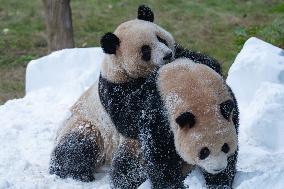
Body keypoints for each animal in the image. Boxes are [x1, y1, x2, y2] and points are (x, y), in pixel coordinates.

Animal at [49, 4, 176, 182]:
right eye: (146, 50)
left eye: (161, 39)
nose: (167, 55)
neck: (118, 67)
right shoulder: (114, 90)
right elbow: (130, 118)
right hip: (90, 126)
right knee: (79, 146)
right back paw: (77, 173)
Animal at [110, 58, 239, 188]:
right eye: (204, 151)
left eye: (225, 147)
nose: (218, 168)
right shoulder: (157, 116)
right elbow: (161, 157)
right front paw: (172, 185)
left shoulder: (231, 107)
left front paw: (219, 182)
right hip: (134, 148)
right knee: (127, 169)